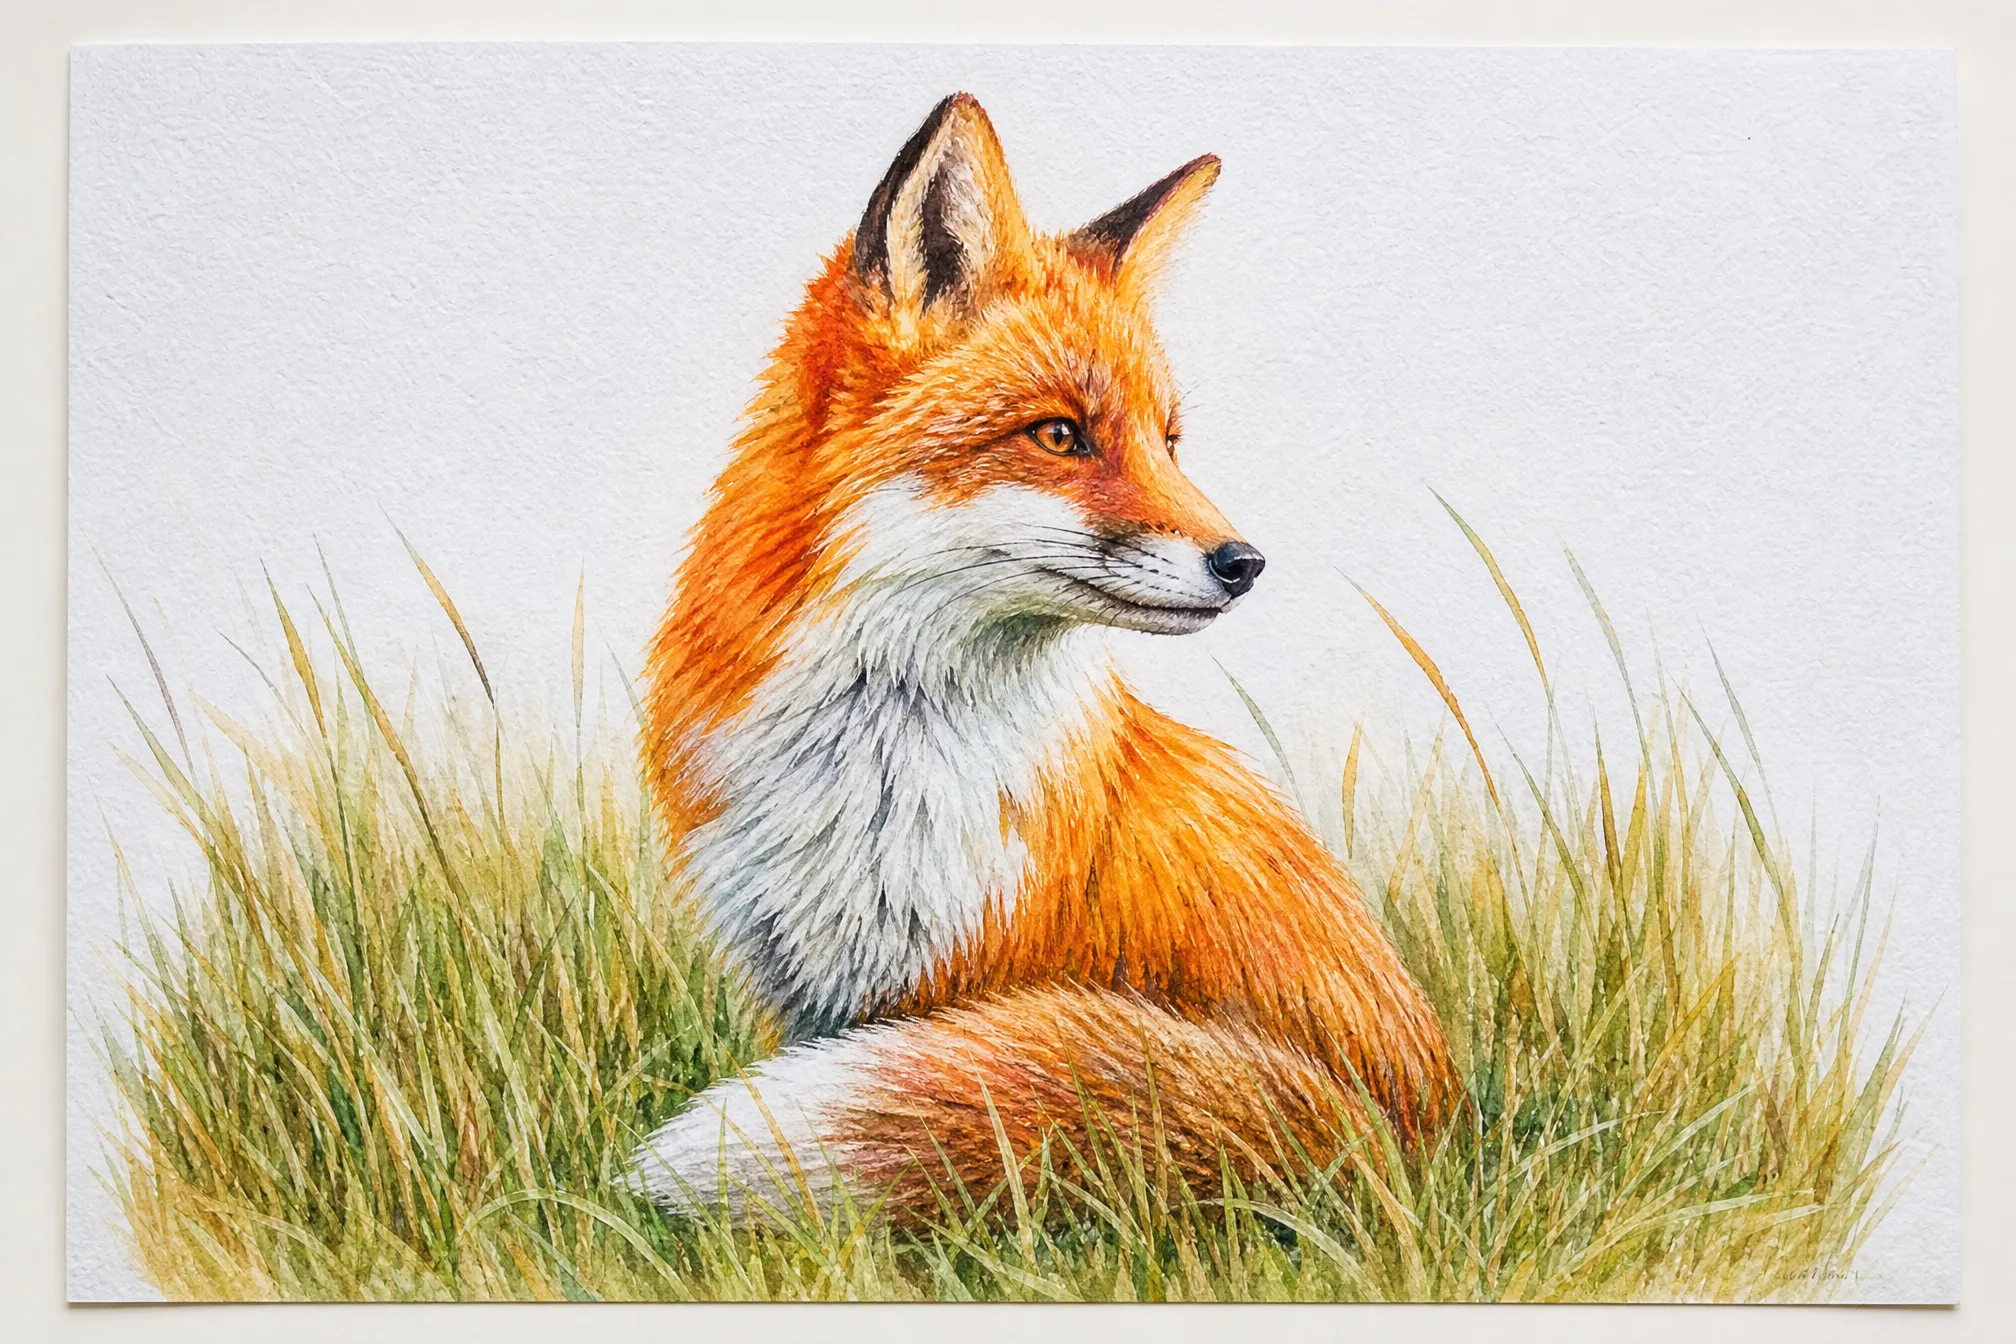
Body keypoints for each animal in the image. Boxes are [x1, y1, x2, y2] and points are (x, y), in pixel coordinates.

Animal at [632, 94, 1459, 1223]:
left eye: (1168, 440)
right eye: (1061, 435)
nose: (1244, 563)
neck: (876, 757)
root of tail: (1407, 1140)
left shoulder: (956, 980)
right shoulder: (811, 984)